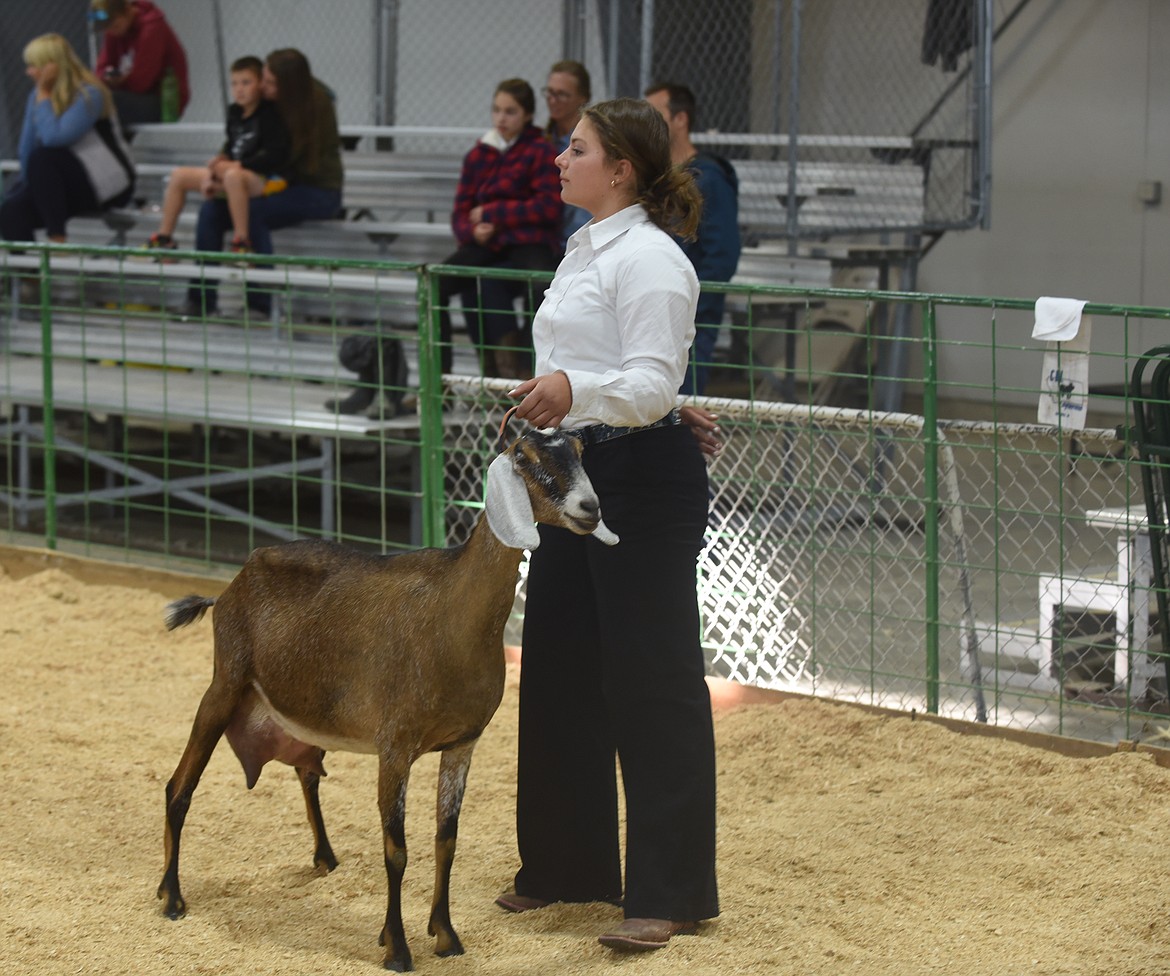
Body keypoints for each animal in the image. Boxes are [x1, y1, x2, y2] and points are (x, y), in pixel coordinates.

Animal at [159, 430, 617, 968]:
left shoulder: (462, 744)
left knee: (306, 772)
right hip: (224, 684)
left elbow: (446, 840)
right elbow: (396, 849)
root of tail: (230, 586)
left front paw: (445, 935)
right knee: (179, 787)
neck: (452, 614)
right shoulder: (395, 747)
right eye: (526, 459)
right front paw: (397, 947)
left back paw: (325, 857)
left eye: (580, 452)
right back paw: (171, 896)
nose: (590, 507)